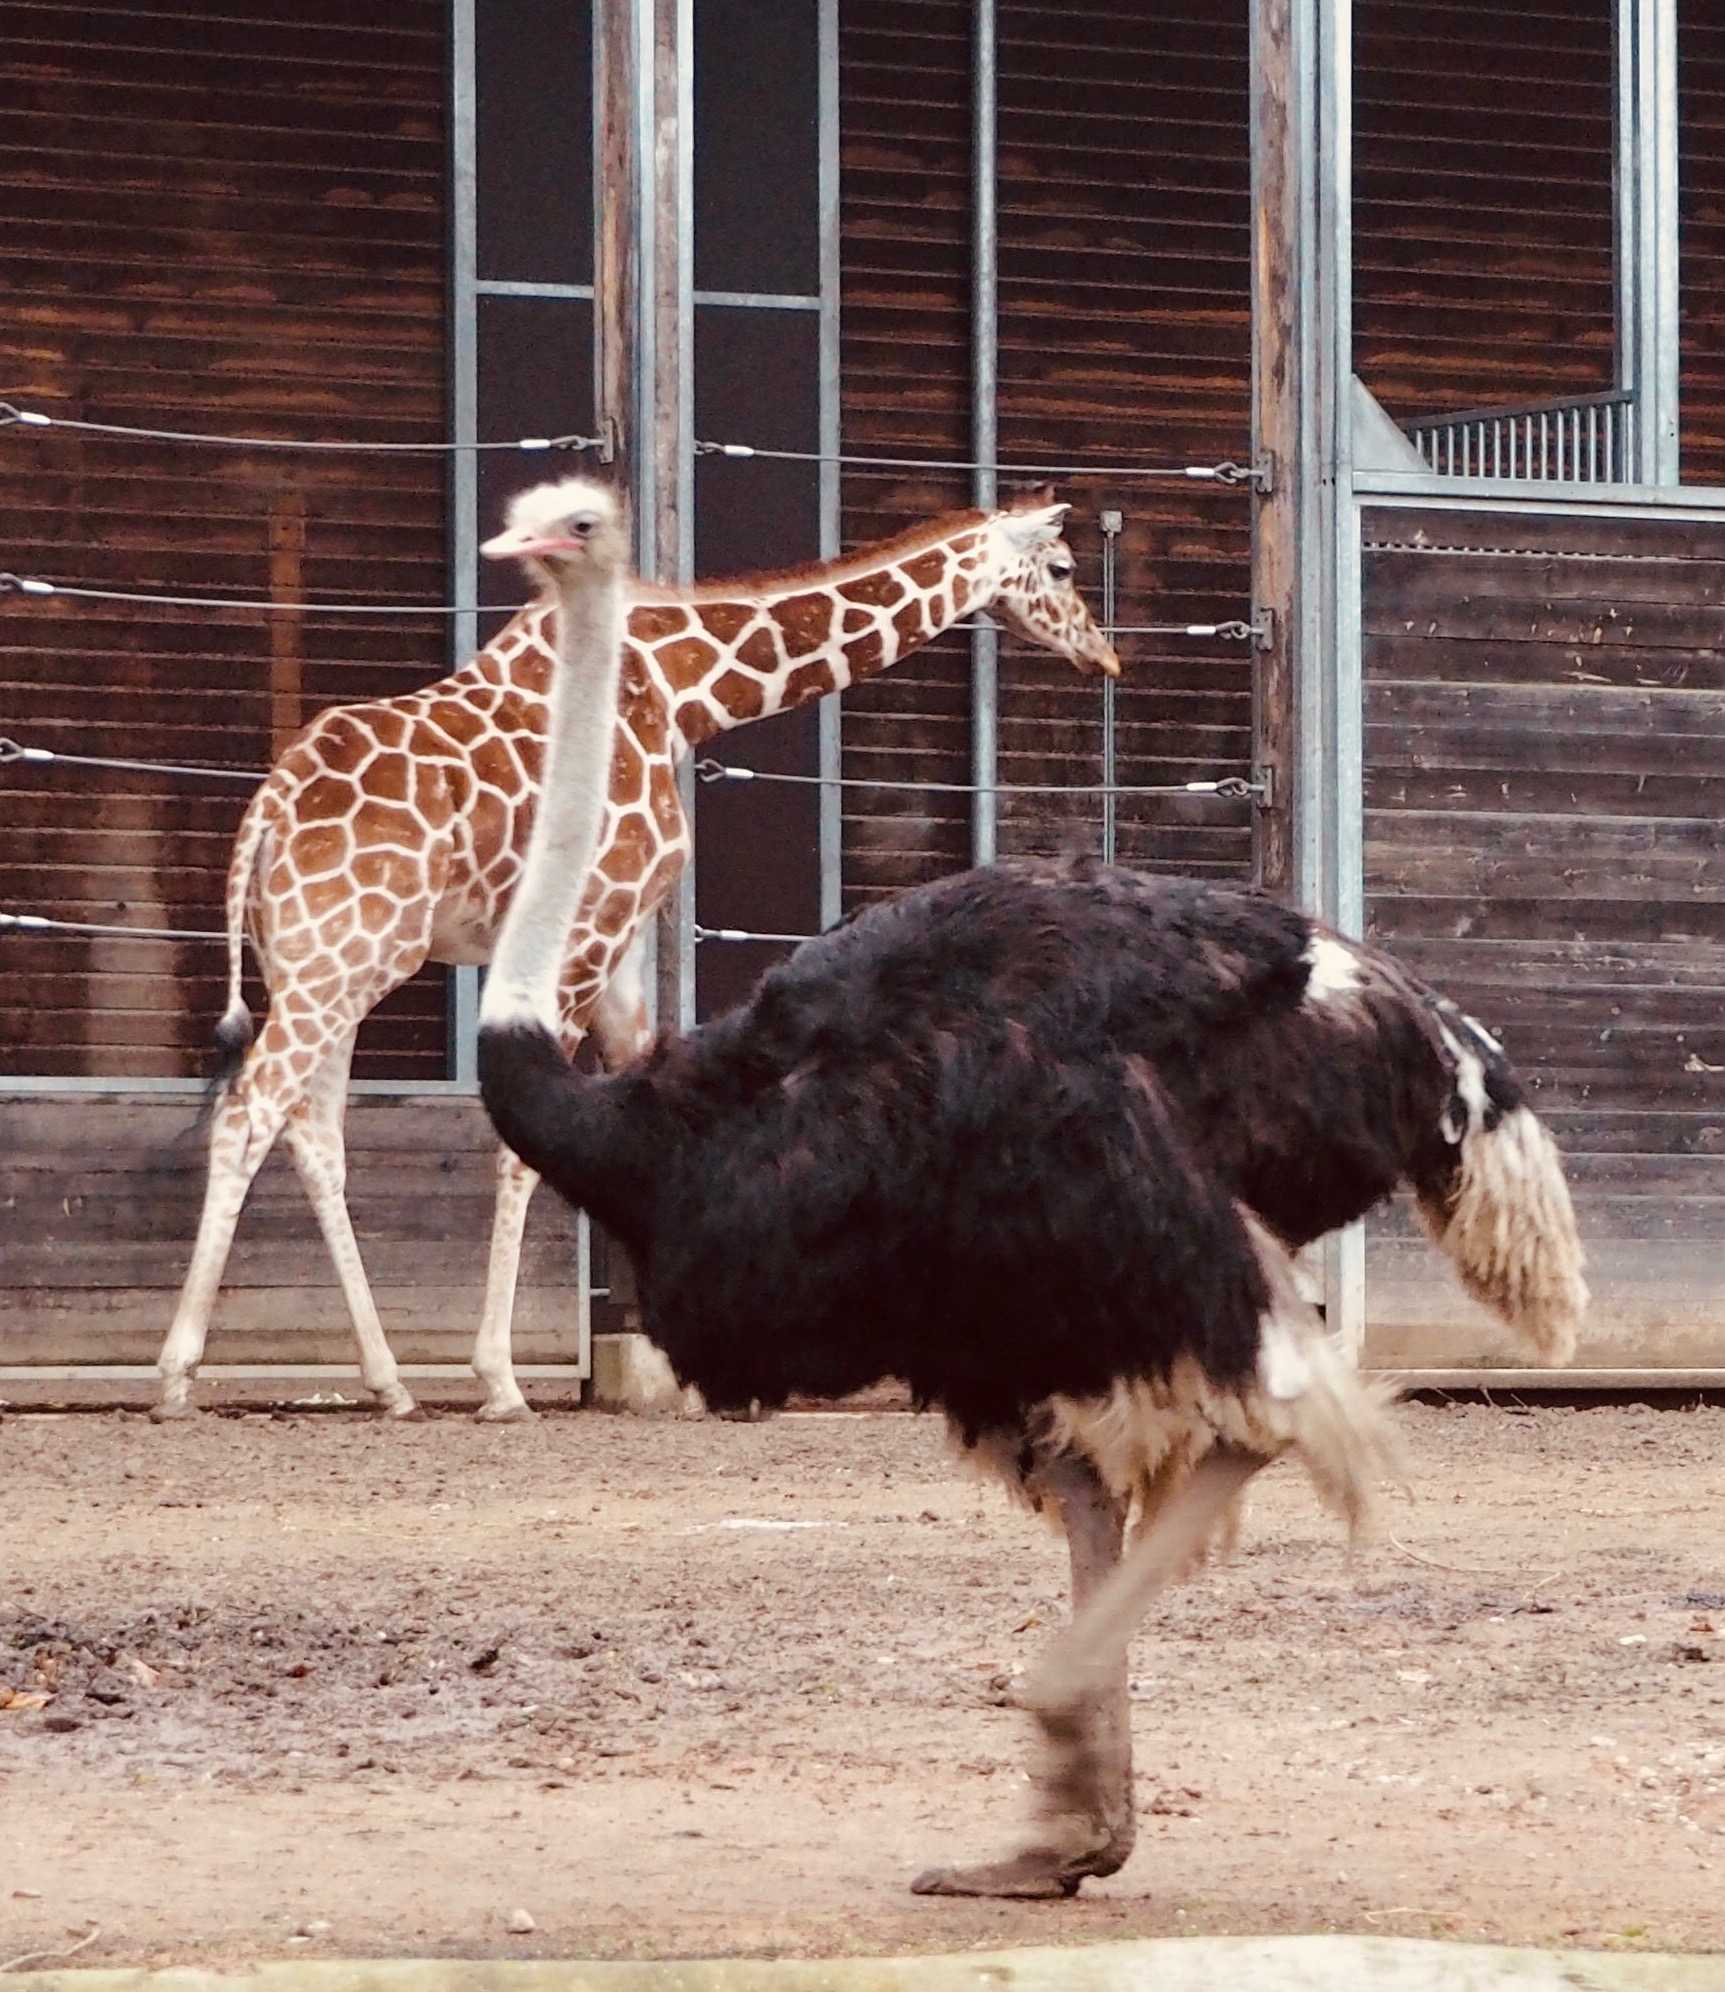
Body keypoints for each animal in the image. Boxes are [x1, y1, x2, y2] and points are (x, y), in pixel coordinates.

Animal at [153, 484, 1121, 1423]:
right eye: (1063, 567)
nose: (1103, 657)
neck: (682, 688)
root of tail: (265, 815)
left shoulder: (620, 936)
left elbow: (640, 1087)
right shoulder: (595, 918)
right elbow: (525, 1144)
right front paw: (502, 1380)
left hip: (322, 966)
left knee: (314, 1134)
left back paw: (389, 1383)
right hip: (340, 959)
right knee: (251, 1111)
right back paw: (177, 1373)